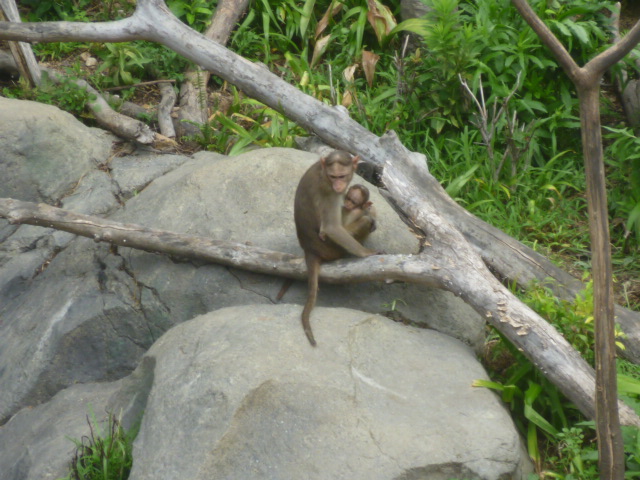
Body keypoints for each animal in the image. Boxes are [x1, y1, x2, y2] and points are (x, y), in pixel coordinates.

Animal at [296, 150, 380, 344]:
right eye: (333, 176)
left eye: (341, 176)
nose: (339, 185)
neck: (322, 172)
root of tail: (309, 250)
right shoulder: (330, 194)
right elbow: (331, 228)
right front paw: (366, 253)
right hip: (333, 250)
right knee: (362, 221)